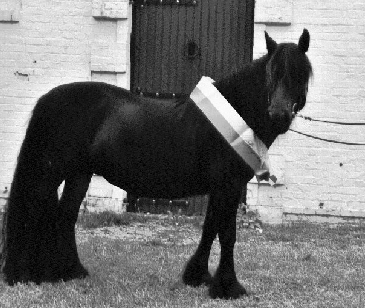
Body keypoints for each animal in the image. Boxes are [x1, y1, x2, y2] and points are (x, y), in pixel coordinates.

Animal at [0, 30, 310, 300]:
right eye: (270, 74)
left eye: (300, 74)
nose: (279, 115)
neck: (235, 117)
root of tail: (47, 100)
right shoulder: (228, 185)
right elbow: (227, 234)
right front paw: (228, 287)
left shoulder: (220, 188)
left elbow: (210, 228)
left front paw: (197, 276)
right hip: (49, 172)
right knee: (32, 212)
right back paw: (22, 274)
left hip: (79, 174)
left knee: (65, 216)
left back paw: (71, 272)